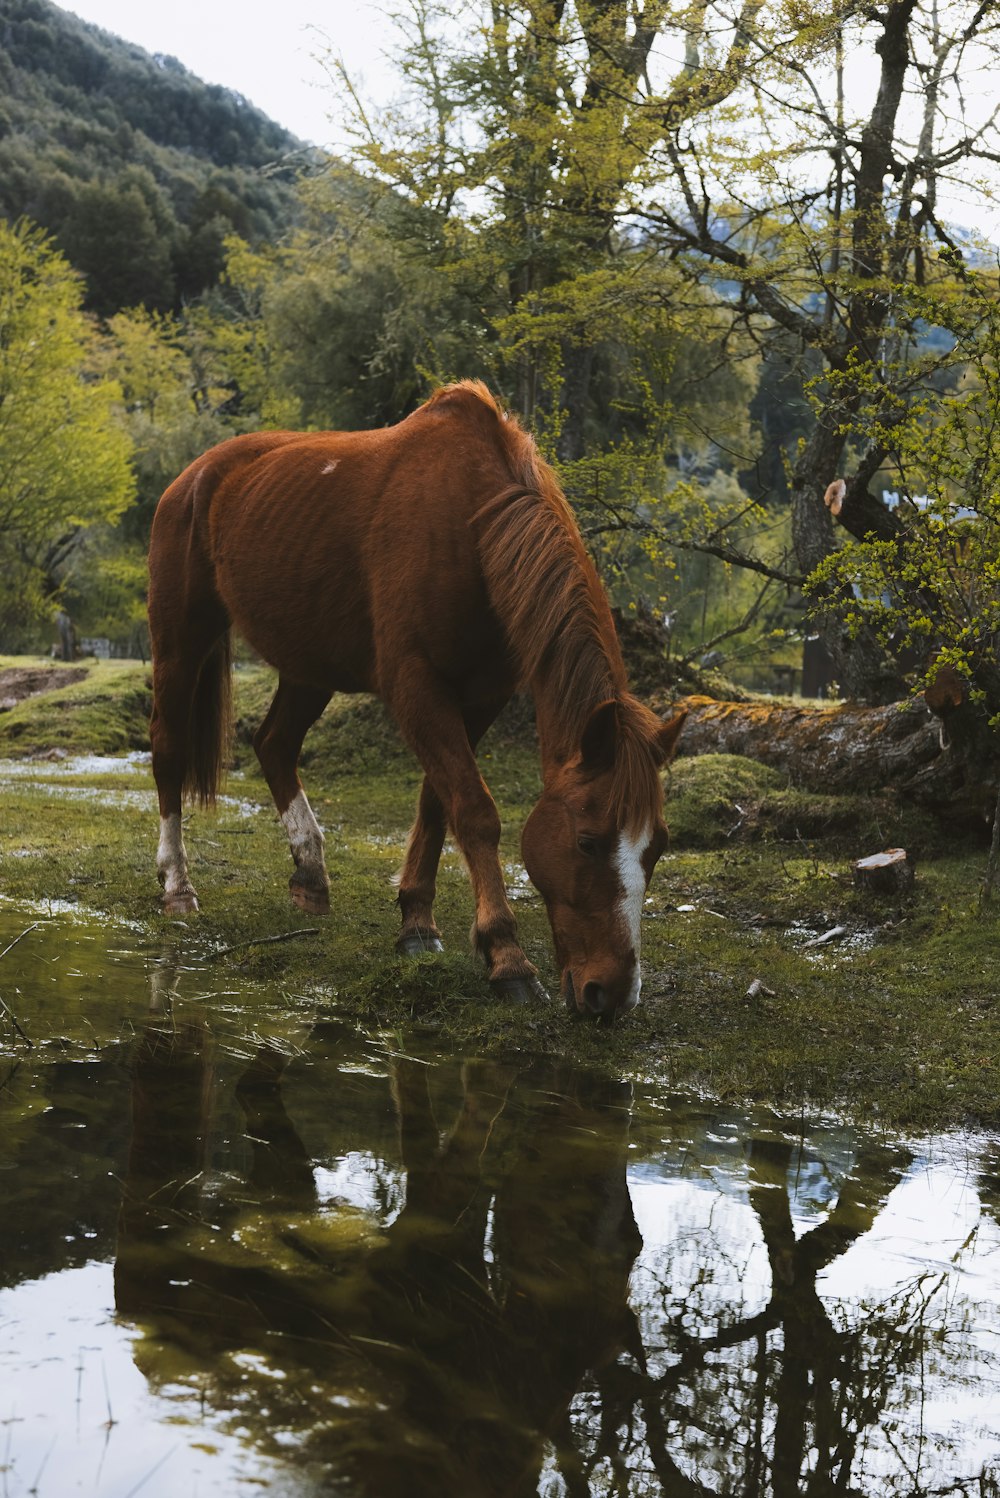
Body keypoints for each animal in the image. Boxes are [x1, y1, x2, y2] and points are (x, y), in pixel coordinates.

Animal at [148, 383, 688, 1018]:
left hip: (311, 667)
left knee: (274, 744)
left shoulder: (481, 697)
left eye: (657, 847)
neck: (473, 528)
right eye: (588, 841)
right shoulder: (417, 688)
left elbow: (438, 803)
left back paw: (311, 874)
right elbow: (474, 810)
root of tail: (193, 477)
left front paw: (417, 924)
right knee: (169, 752)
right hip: (181, 645)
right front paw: (506, 957)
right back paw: (178, 886)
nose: (614, 995)